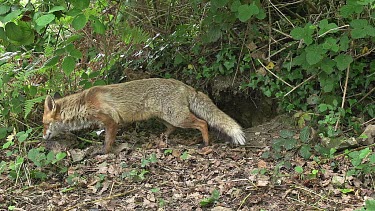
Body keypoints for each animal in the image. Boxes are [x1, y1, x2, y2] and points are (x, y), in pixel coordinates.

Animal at [43, 78, 247, 152]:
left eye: (44, 124)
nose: (43, 136)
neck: (84, 103)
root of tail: (184, 85)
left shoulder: (111, 121)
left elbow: (108, 141)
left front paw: (103, 153)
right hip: (164, 117)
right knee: (171, 128)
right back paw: (162, 138)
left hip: (178, 117)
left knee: (203, 123)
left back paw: (205, 143)